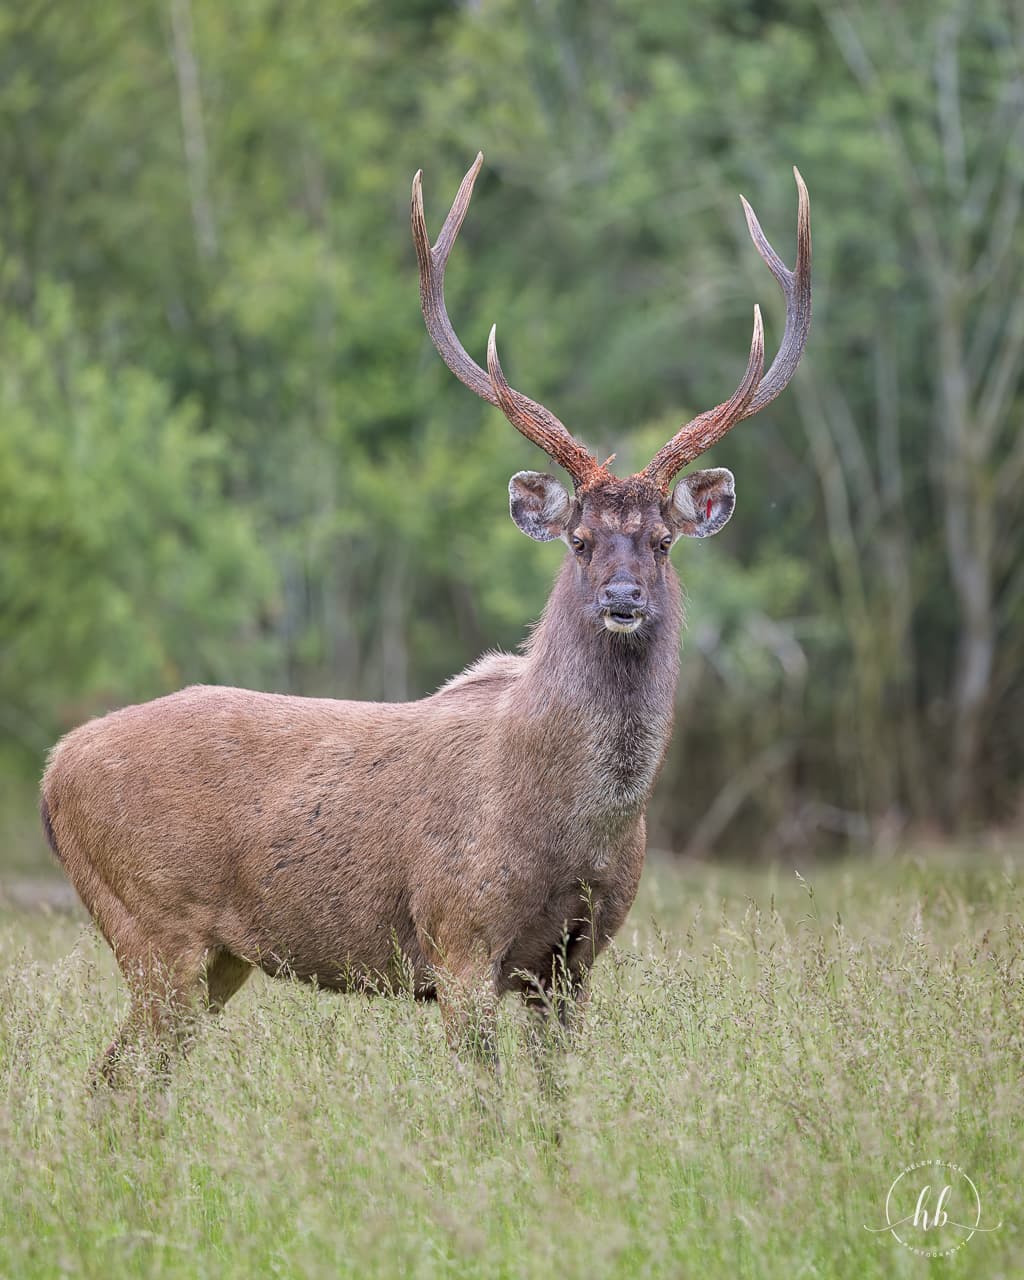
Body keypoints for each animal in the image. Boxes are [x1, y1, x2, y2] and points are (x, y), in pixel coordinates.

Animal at [40, 154, 810, 1080]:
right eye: (580, 541)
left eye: (662, 542)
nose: (622, 601)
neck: (571, 828)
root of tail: (51, 773)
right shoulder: (458, 934)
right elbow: (484, 1097)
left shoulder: (575, 960)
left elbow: (557, 1095)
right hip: (154, 925)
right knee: (113, 1075)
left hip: (212, 957)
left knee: (127, 1079)